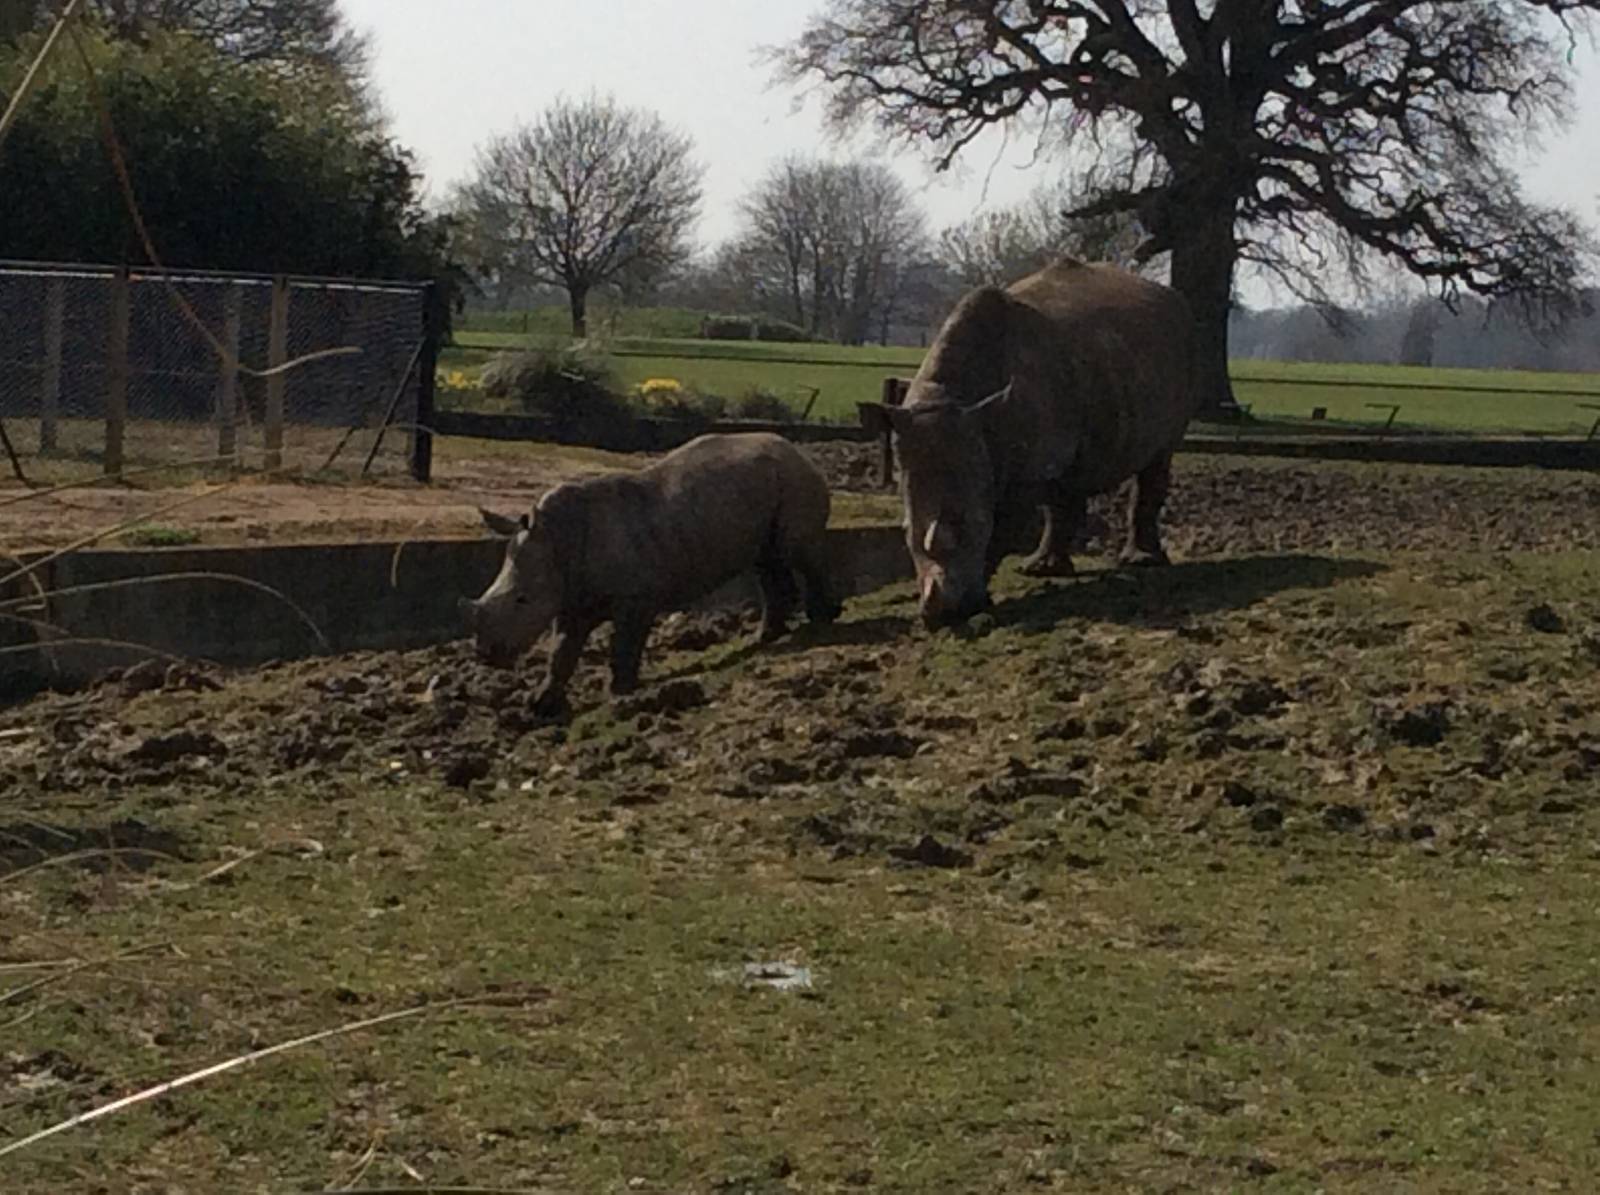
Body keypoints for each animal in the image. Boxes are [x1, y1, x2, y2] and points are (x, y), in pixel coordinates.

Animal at [462, 432, 840, 715]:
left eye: (522, 600)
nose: (486, 654)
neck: (556, 540)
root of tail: (799, 452)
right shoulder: (572, 598)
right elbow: (561, 652)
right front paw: (540, 704)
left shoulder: (636, 597)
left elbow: (624, 643)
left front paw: (621, 692)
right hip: (768, 486)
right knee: (767, 561)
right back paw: (765, 637)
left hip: (795, 480)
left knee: (797, 552)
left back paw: (821, 620)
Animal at [859, 257, 1198, 628]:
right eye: (905, 530)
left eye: (974, 525)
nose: (941, 616)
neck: (957, 398)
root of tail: (1172, 298)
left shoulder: (1019, 468)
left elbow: (1004, 525)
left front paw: (977, 604)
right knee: (1068, 481)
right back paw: (1043, 569)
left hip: (1179, 350)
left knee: (1158, 458)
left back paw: (1142, 562)